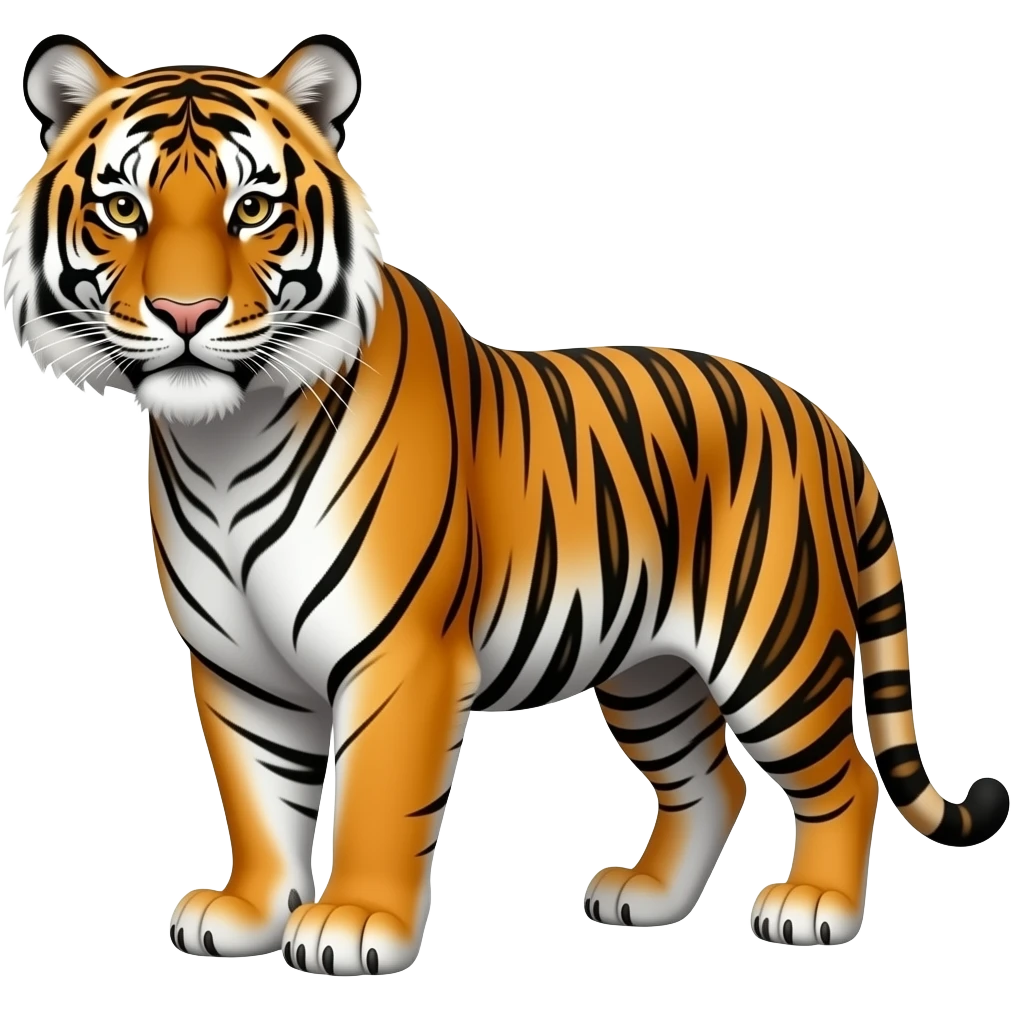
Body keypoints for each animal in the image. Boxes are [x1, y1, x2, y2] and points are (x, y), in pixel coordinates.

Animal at [5, 32, 1008, 976]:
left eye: (252, 208)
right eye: (123, 208)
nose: (185, 313)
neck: (222, 441)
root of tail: (821, 419)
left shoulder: (400, 654)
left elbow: (375, 796)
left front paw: (353, 922)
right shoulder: (236, 664)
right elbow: (259, 795)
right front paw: (249, 911)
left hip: (773, 649)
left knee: (845, 775)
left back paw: (813, 908)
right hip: (649, 670)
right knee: (710, 778)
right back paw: (645, 896)